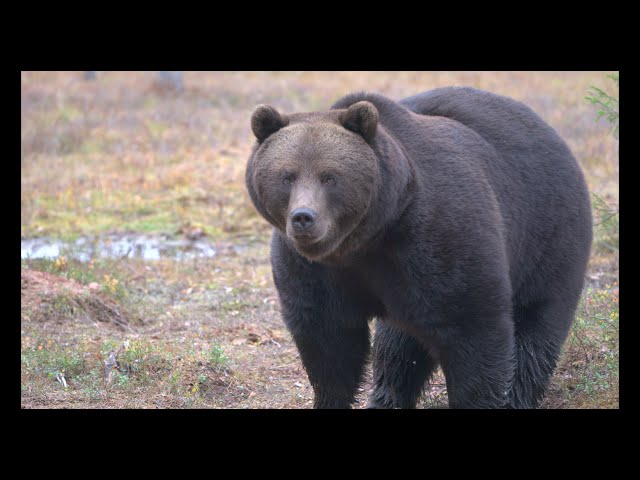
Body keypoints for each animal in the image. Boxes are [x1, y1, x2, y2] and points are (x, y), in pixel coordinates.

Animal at [244, 87, 592, 408]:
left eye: (330, 177)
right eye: (287, 176)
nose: (304, 218)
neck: (365, 240)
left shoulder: (438, 243)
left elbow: (474, 331)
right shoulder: (314, 270)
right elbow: (329, 341)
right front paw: (331, 397)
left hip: (547, 239)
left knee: (536, 329)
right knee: (398, 349)